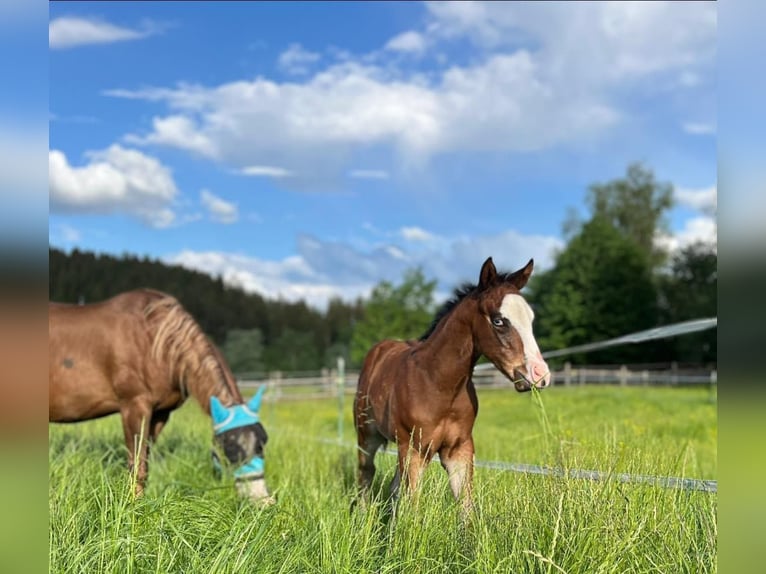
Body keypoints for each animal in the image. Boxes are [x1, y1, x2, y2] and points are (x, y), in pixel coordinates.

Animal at [49, 288, 272, 503]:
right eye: (230, 448)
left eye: (263, 442)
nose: (262, 502)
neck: (155, 338)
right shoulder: (134, 406)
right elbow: (137, 466)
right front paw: (132, 507)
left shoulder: (160, 414)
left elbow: (144, 465)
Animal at [353, 257, 551, 513]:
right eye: (498, 320)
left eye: (530, 319)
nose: (540, 374)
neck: (439, 384)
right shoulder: (415, 450)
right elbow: (413, 506)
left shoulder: (459, 449)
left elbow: (465, 506)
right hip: (367, 435)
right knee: (366, 474)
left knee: (393, 486)